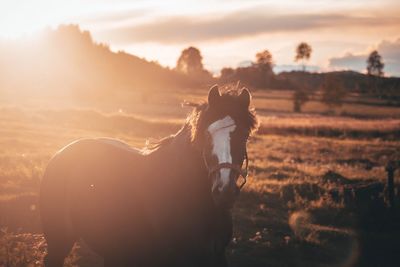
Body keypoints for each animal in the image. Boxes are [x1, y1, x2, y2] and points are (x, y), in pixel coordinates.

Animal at [39, 85, 256, 266]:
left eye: (245, 135)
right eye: (207, 134)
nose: (224, 191)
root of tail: (62, 153)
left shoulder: (217, 257)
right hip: (60, 241)